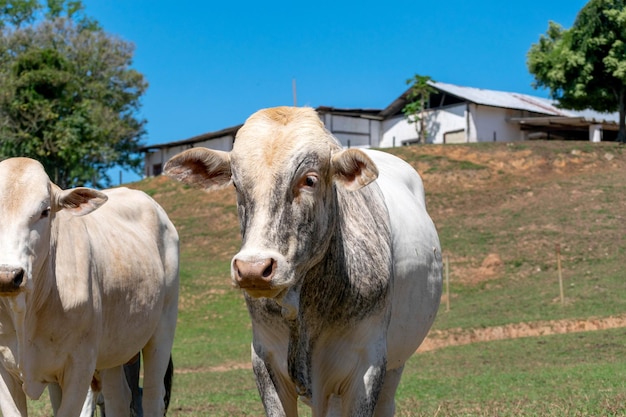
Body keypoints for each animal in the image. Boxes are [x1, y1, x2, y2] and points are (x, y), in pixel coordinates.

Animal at [0, 157, 179, 416]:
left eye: (45, 211)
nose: (7, 275)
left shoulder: (80, 367)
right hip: (113, 352)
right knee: (118, 399)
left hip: (162, 331)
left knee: (152, 397)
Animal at [163, 106, 442, 416]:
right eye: (236, 183)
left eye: (309, 180)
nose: (253, 269)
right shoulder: (264, 359)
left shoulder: (368, 365)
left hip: (395, 364)